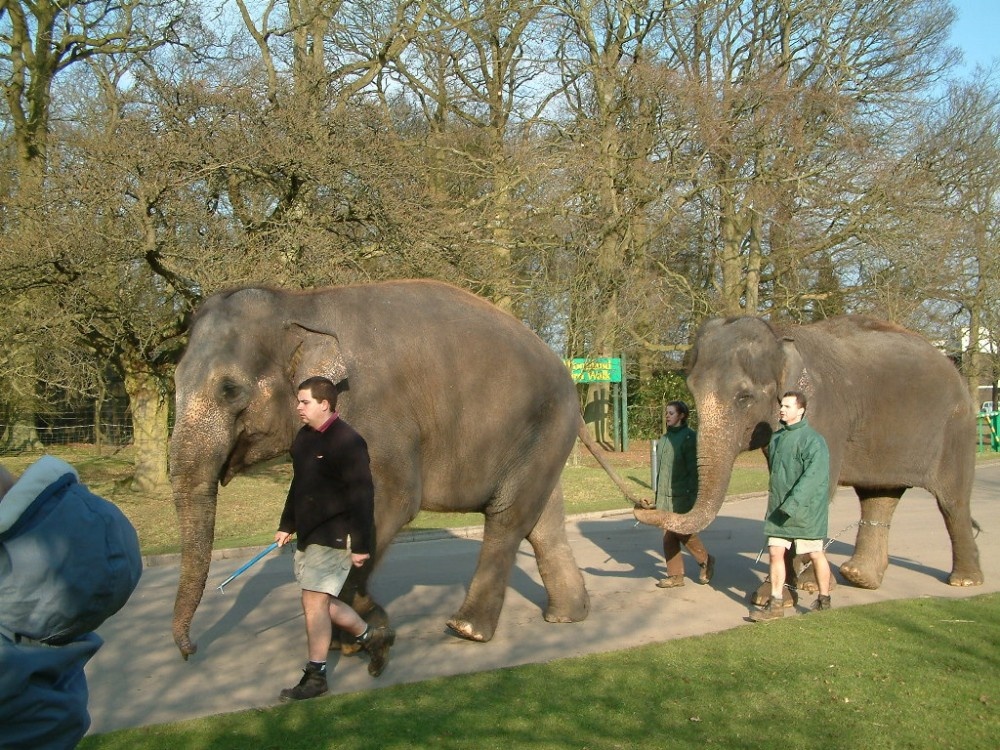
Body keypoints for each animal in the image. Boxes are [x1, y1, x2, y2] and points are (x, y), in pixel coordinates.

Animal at [170, 282, 632, 664]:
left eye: (230, 390)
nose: (191, 651)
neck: (300, 302)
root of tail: (567, 379)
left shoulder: (378, 418)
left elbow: (389, 501)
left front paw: (358, 628)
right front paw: (351, 633)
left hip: (543, 427)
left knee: (508, 519)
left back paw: (466, 629)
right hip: (544, 440)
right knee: (544, 522)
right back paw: (567, 617)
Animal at [636, 318, 980, 600]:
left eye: (744, 397)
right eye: (691, 392)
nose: (642, 506)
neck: (781, 335)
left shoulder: (824, 415)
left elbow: (811, 487)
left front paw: (789, 591)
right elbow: (782, 485)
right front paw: (786, 590)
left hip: (957, 429)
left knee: (952, 502)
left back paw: (964, 581)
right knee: (879, 496)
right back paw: (859, 576)